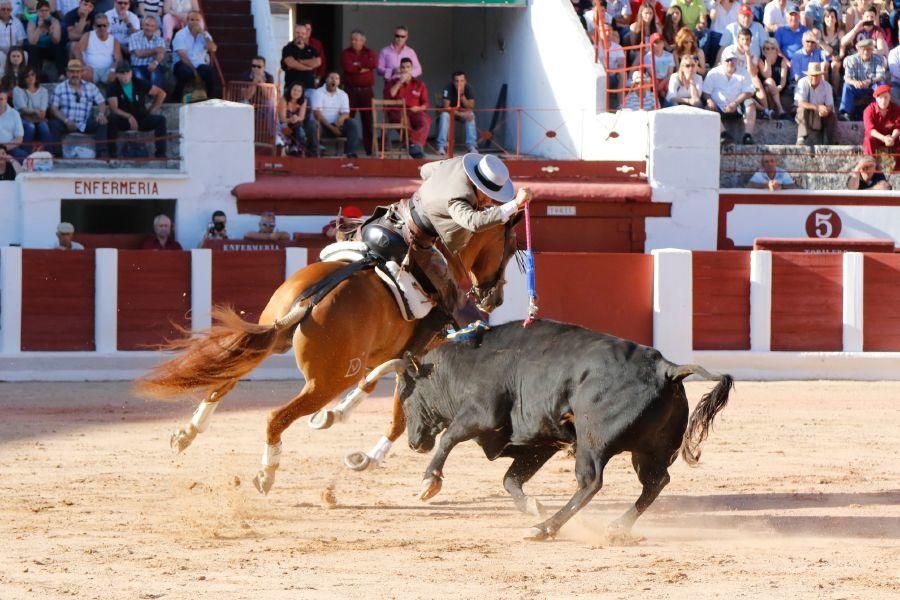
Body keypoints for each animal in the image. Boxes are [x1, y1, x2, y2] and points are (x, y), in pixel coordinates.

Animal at [134, 218, 520, 494]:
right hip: (328, 379)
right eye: (510, 246)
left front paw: (335, 419)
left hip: (275, 340)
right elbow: (398, 414)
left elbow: (375, 388)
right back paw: (267, 473)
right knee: (275, 416)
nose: (495, 298)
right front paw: (366, 456)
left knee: (223, 382)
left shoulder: (390, 356)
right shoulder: (417, 354)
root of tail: (313, 296)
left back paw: (186, 434)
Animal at [398, 322, 736, 540]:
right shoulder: (540, 444)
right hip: (650, 451)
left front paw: (428, 482)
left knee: (591, 482)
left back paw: (545, 529)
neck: (464, 365)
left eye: (405, 396)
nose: (413, 443)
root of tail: (666, 369)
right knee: (655, 482)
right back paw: (616, 527)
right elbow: (510, 479)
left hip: (592, 442)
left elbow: (449, 437)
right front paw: (532, 506)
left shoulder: (481, 415)